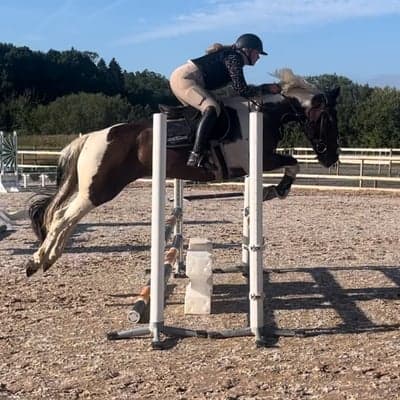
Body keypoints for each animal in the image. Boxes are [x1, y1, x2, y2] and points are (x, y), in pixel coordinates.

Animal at [25, 68, 340, 277]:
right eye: (326, 119)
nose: (331, 158)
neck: (261, 113)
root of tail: (92, 137)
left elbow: (291, 163)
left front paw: (275, 190)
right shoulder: (258, 159)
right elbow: (292, 162)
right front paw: (280, 189)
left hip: (94, 188)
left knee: (62, 217)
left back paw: (47, 259)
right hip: (99, 188)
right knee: (62, 217)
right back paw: (37, 261)